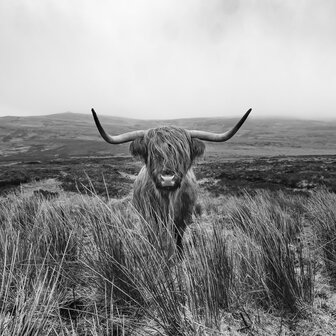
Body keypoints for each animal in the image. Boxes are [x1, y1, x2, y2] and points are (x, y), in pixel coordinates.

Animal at [90, 109, 251, 253]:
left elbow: (178, 237)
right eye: (153, 152)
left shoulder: (183, 218)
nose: (167, 179)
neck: (167, 200)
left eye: (182, 153)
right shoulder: (149, 217)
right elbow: (153, 236)